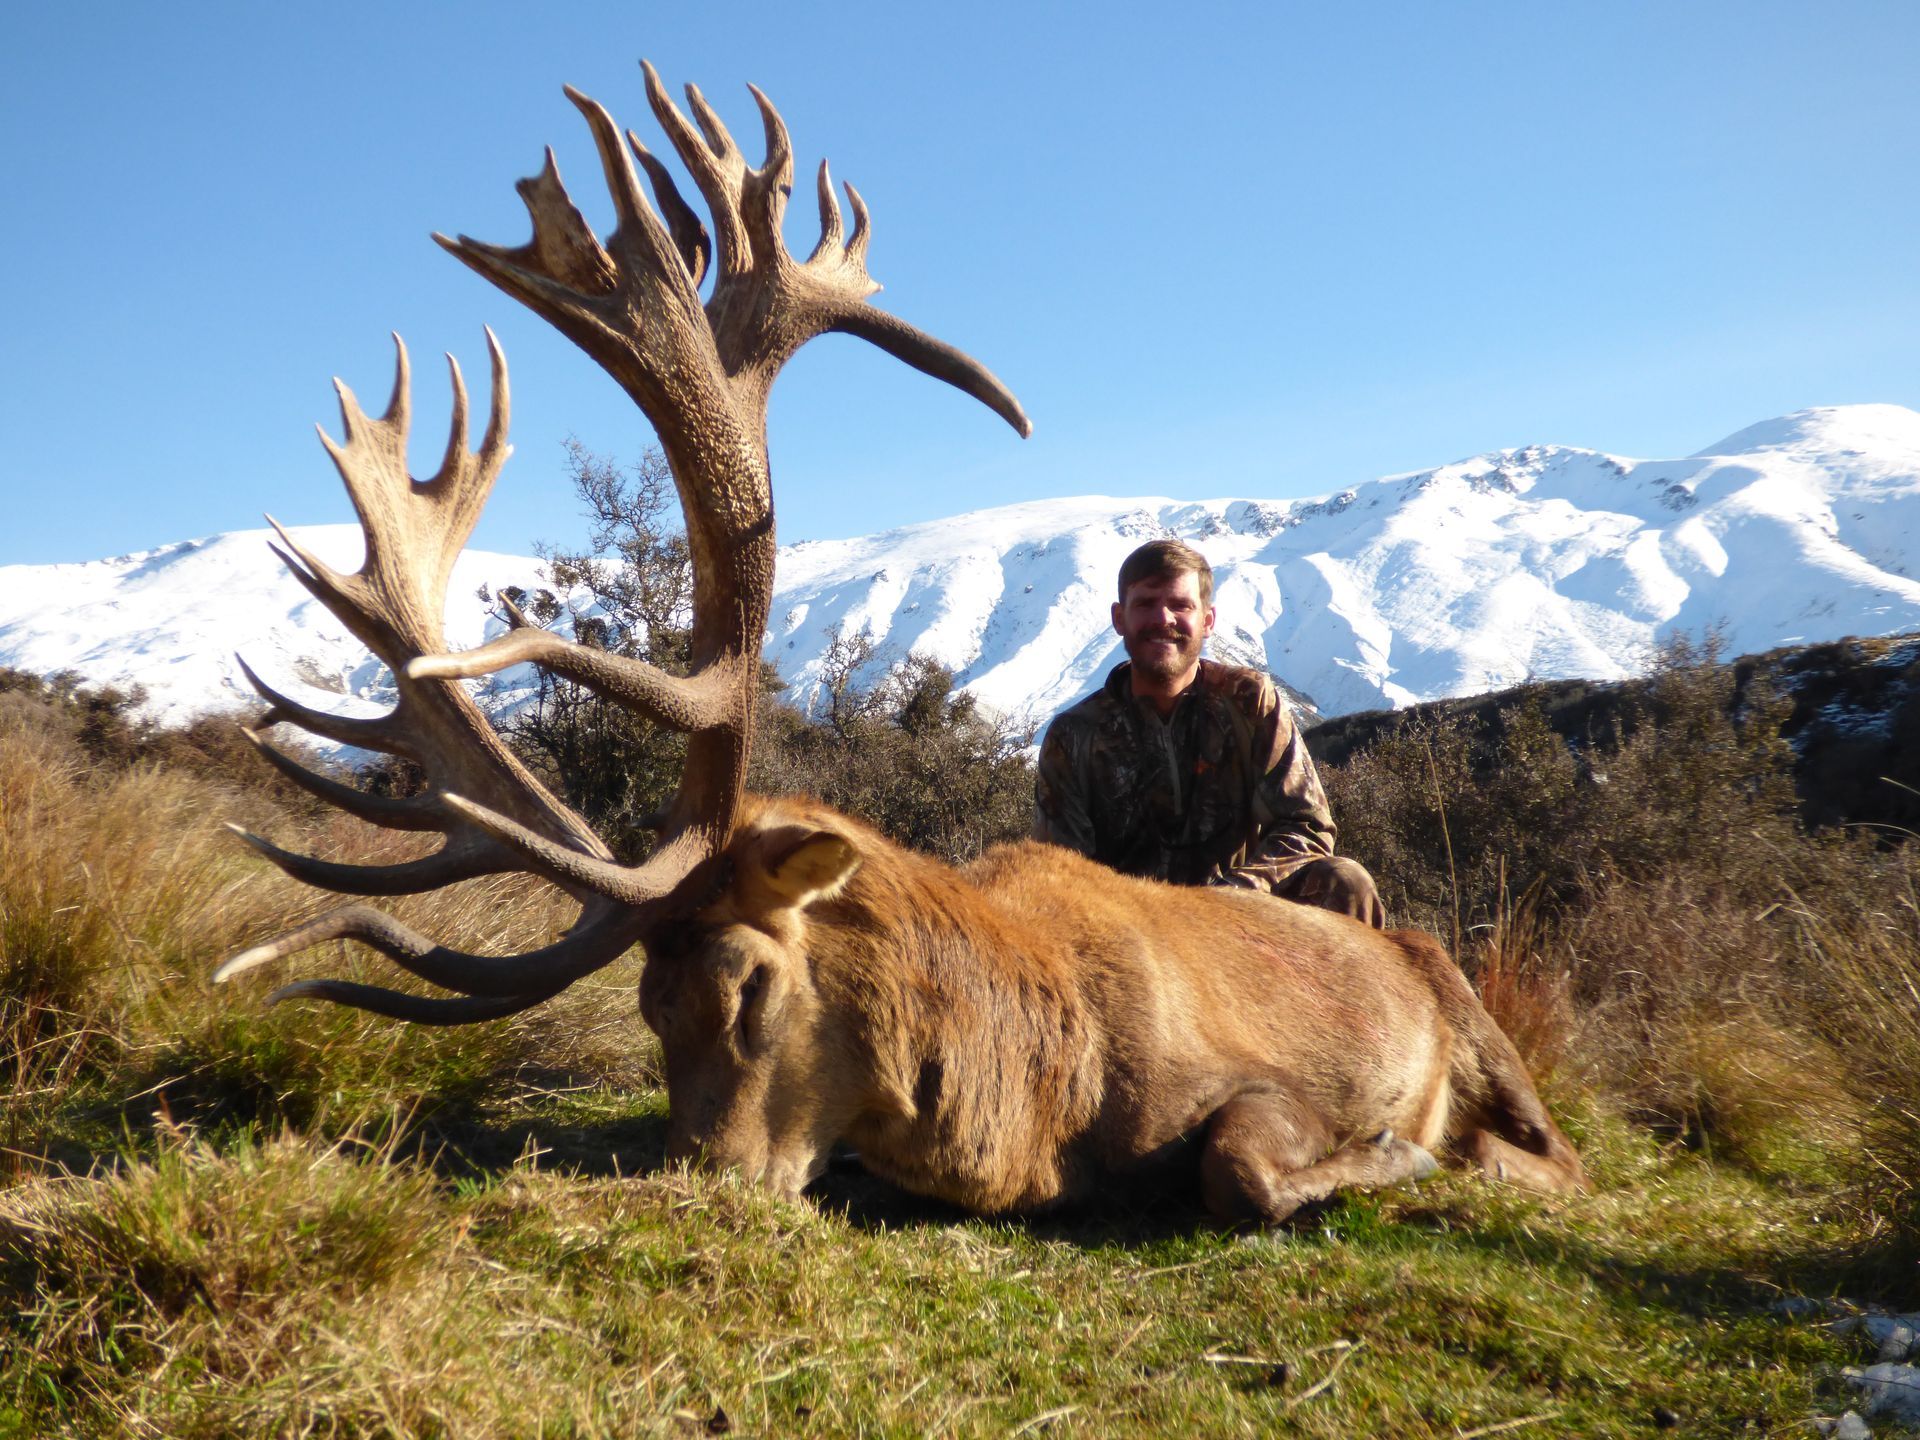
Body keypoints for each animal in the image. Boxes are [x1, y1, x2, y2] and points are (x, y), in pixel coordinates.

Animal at [215, 65, 1585, 1225]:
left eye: (749, 985)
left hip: (1473, 1007)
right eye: (647, 1009)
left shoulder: (1247, 1085)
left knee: (1550, 1147)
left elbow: (1241, 1163)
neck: (1040, 1091)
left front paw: (1399, 1148)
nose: (695, 1182)